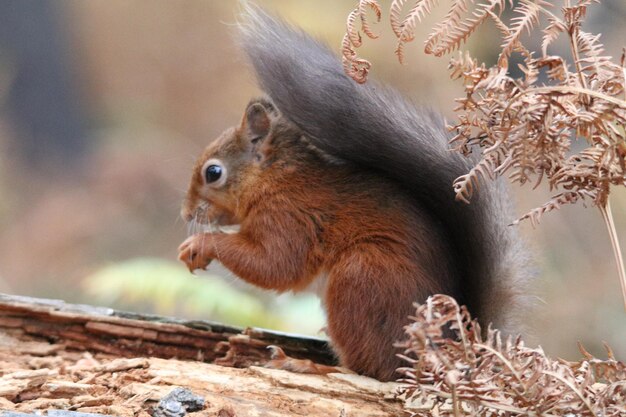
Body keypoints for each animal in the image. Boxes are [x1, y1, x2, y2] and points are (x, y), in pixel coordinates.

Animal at [178, 5, 528, 380]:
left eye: (213, 173)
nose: (186, 214)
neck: (274, 179)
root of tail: (452, 351)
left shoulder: (290, 216)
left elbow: (275, 265)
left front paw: (200, 244)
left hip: (360, 277)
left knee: (369, 370)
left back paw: (302, 364)